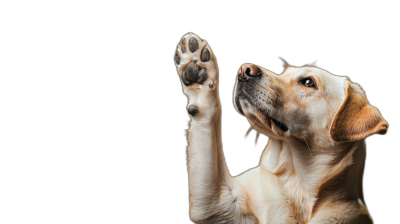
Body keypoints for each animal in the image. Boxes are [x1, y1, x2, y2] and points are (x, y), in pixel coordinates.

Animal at [173, 32, 390, 223]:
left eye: (308, 82)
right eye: (283, 73)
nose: (244, 70)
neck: (298, 186)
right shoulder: (215, 203)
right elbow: (208, 129)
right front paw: (197, 70)